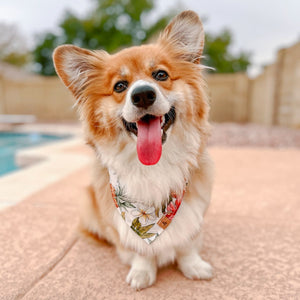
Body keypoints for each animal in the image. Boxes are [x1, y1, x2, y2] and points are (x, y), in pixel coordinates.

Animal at [53, 10, 213, 290]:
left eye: (160, 75)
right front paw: (142, 272)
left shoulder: (192, 215)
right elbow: (140, 251)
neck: (154, 166)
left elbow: (187, 244)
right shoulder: (127, 228)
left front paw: (193, 266)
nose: (143, 95)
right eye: (120, 86)